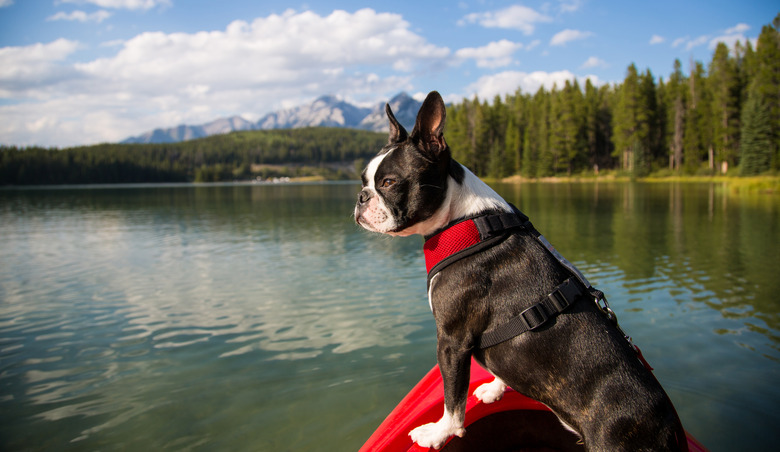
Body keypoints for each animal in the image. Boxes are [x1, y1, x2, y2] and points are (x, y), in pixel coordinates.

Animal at [354, 90, 688, 450]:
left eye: (389, 182)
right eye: (363, 180)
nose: (360, 197)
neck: (464, 219)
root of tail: (670, 430)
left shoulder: (452, 341)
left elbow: (453, 399)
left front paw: (439, 432)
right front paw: (496, 388)